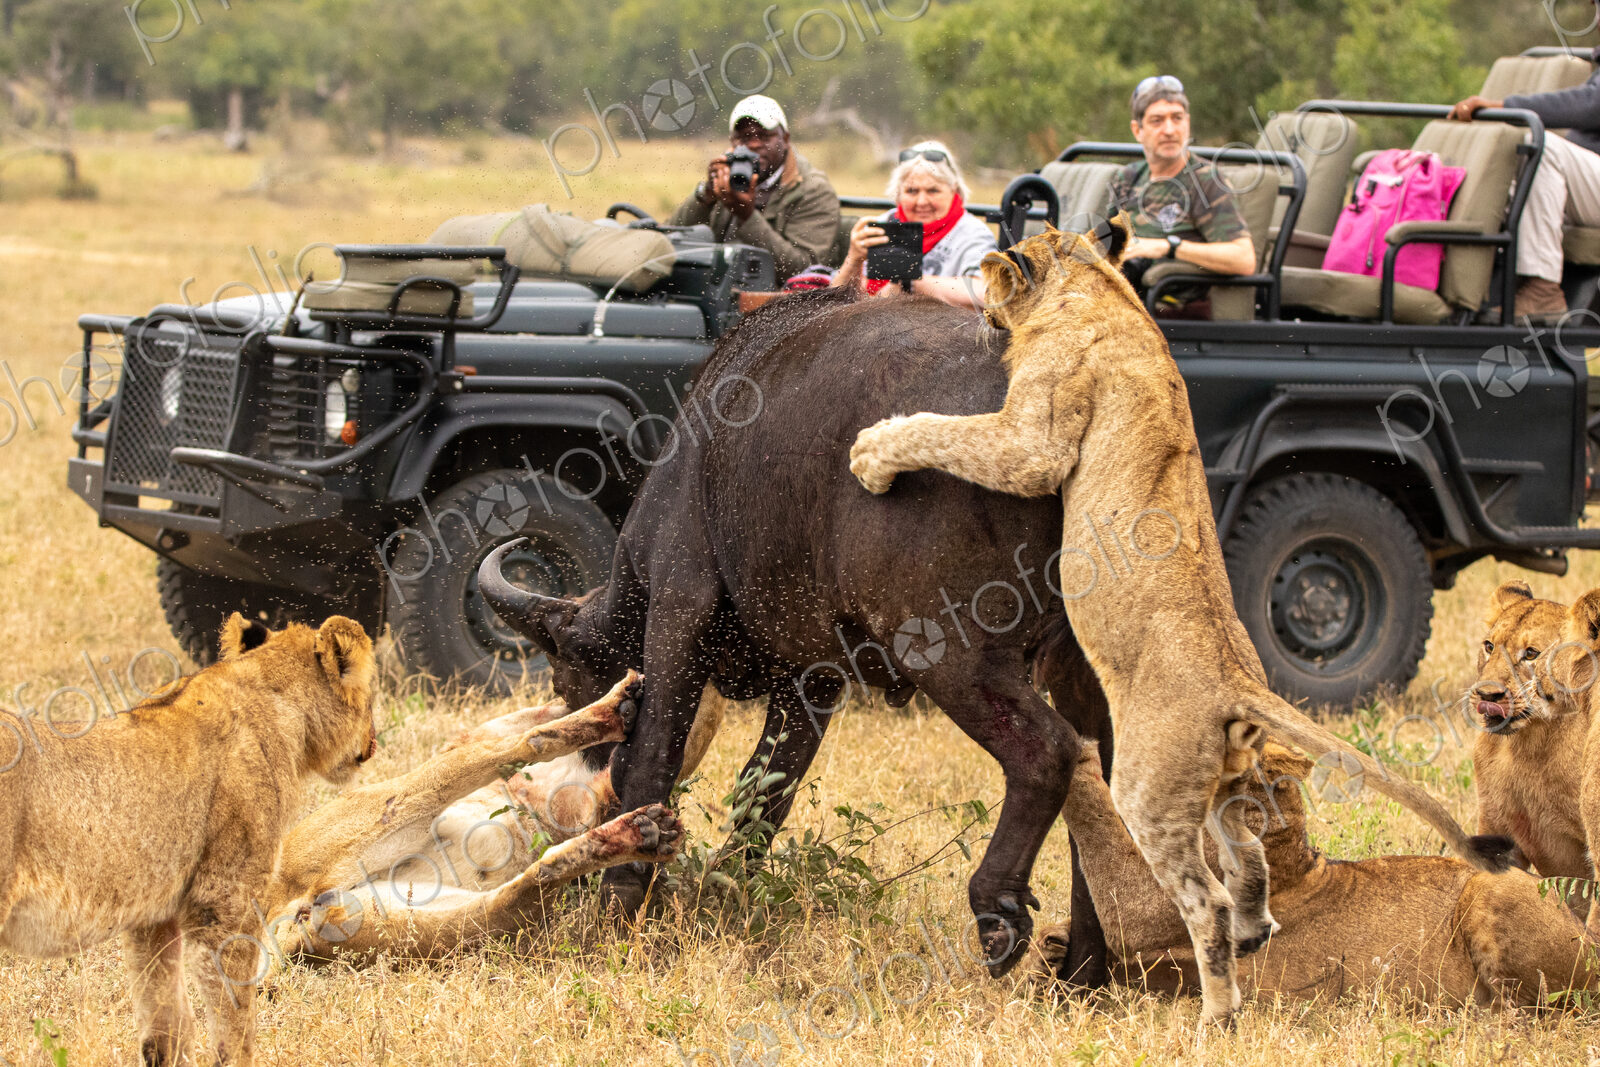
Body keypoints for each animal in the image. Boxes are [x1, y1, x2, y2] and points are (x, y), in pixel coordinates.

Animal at [0, 614, 378, 1067]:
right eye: (372, 695)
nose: (374, 741)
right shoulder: (224, 902)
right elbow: (235, 1021)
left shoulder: (152, 917)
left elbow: (166, 1023)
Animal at [846, 218, 1513, 1025]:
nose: (980, 310)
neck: (1105, 293)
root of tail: (1238, 682)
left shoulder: (1030, 442)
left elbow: (945, 433)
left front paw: (871, 453)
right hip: (1224, 784)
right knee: (1248, 858)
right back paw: (1256, 932)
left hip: (1145, 788)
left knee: (1205, 899)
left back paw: (1217, 1014)